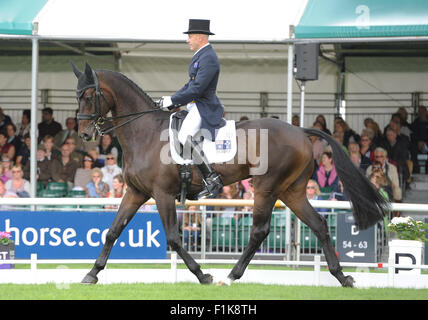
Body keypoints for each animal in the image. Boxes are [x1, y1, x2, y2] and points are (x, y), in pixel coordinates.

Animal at [72, 62, 390, 288]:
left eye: (88, 96)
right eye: (77, 96)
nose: (85, 134)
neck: (145, 132)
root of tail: (300, 131)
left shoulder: (162, 194)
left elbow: (173, 238)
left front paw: (203, 275)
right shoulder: (136, 192)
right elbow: (113, 231)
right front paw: (91, 274)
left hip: (266, 187)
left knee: (260, 231)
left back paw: (231, 275)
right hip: (292, 191)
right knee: (319, 225)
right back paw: (342, 277)